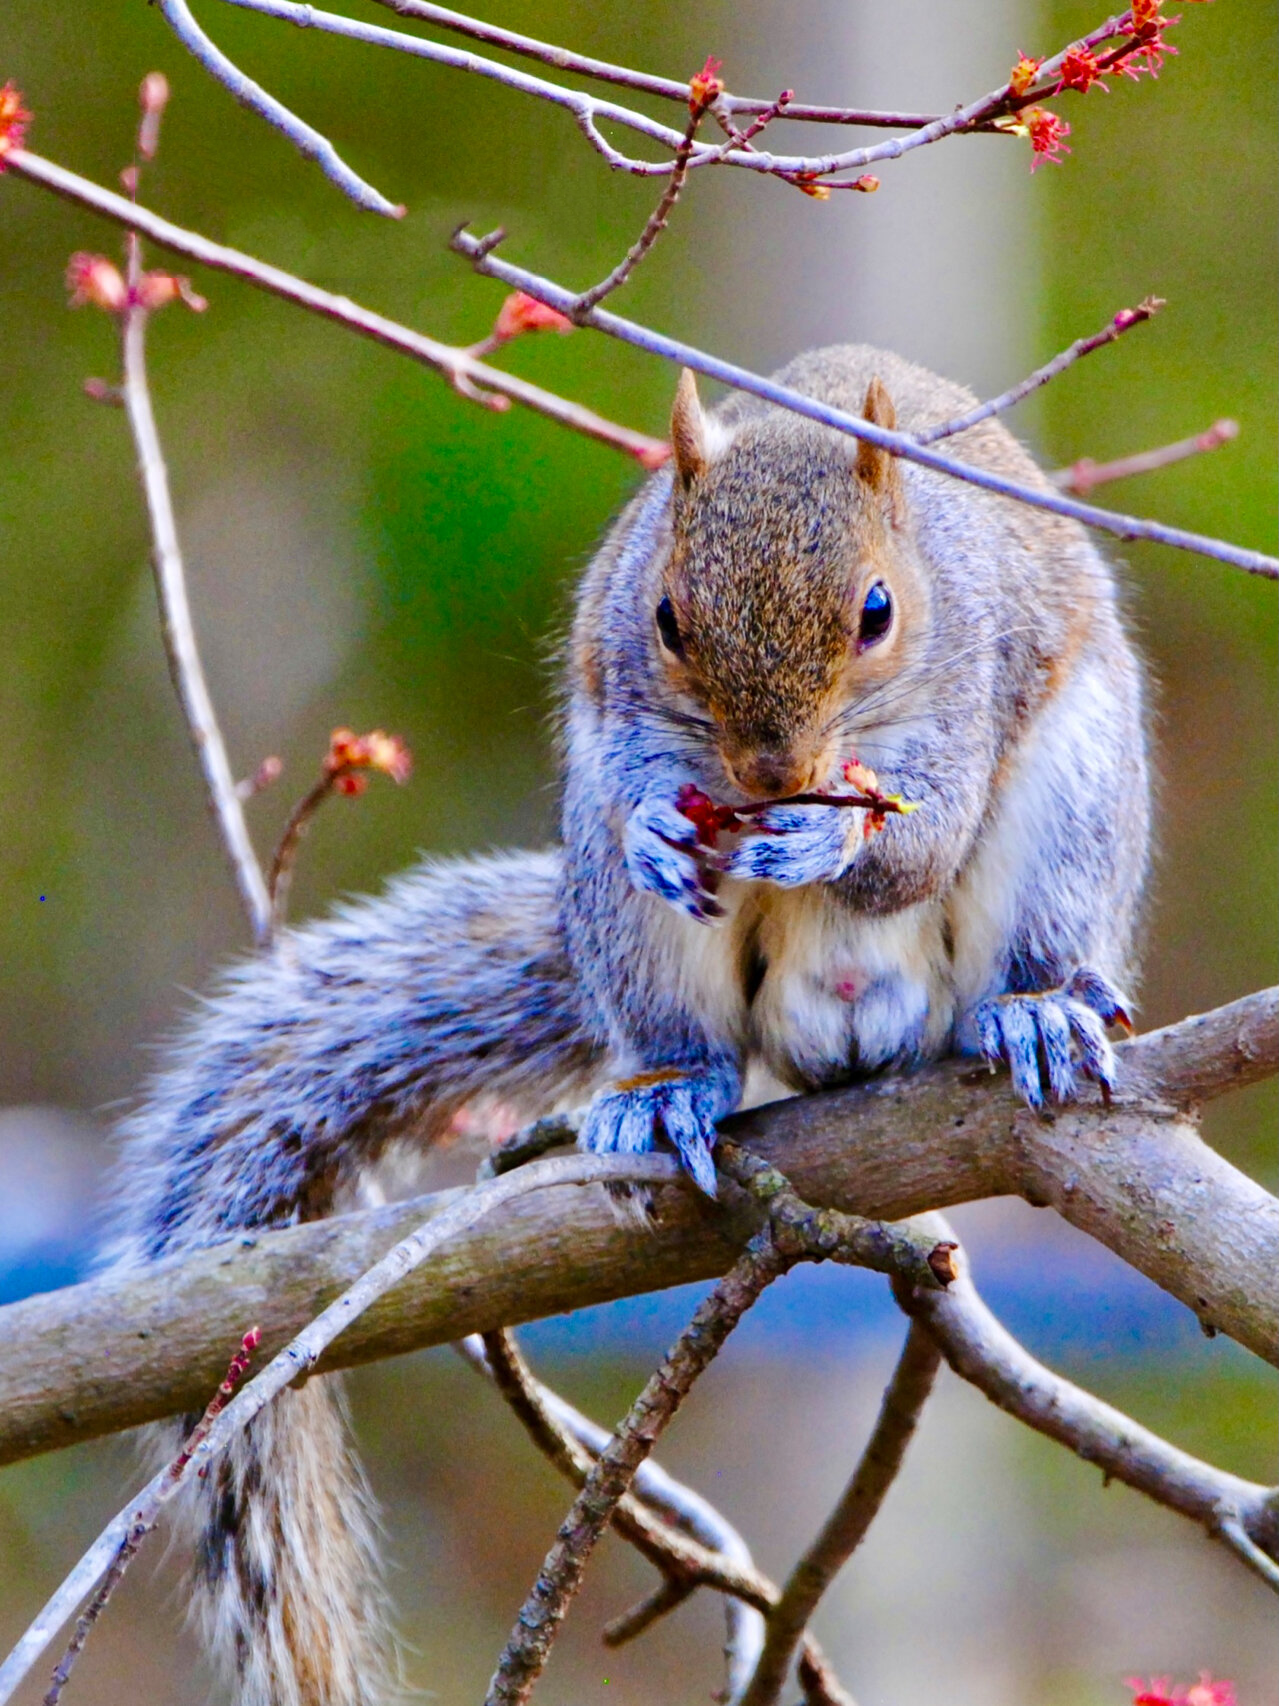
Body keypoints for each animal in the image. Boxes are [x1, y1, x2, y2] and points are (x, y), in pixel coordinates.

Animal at [107, 346, 1152, 1706]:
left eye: (877, 612)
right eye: (666, 617)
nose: (768, 775)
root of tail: (856, 1032)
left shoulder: (973, 680)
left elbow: (914, 843)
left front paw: (833, 842)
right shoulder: (623, 699)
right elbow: (642, 787)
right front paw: (666, 821)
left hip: (1070, 813)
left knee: (1025, 937)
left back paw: (1033, 1008)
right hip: (624, 923)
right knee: (684, 1025)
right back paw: (665, 1091)